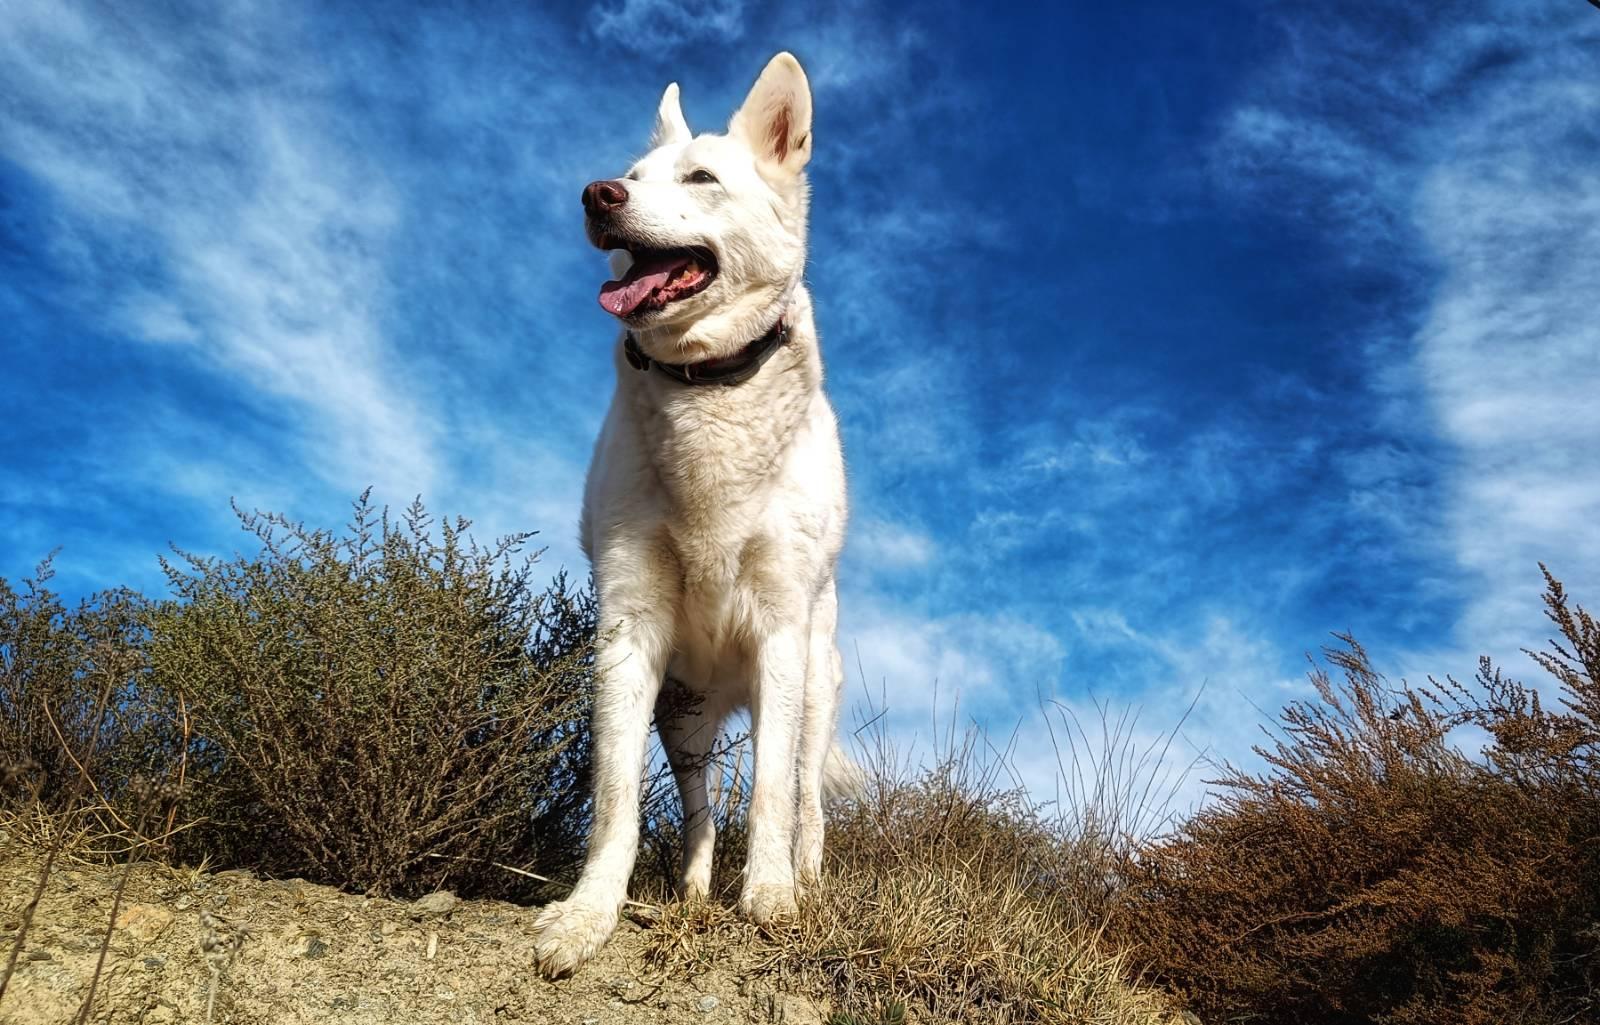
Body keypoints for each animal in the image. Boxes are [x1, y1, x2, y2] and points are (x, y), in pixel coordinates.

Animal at [528, 49, 851, 972]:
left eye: (702, 178)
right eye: (632, 177)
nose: (596, 195)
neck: (707, 385)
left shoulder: (779, 630)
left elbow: (773, 794)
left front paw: (770, 897)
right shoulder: (627, 629)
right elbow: (615, 803)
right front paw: (587, 915)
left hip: (811, 687)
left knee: (806, 797)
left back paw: (805, 883)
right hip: (684, 717)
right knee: (703, 805)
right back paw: (696, 890)